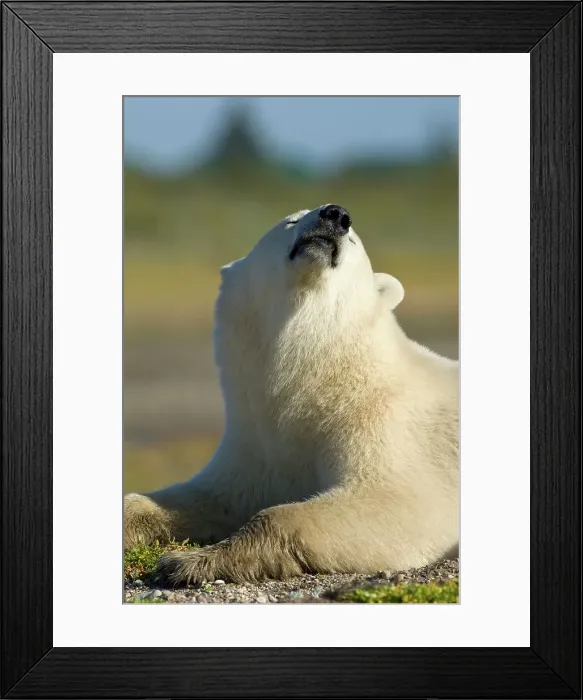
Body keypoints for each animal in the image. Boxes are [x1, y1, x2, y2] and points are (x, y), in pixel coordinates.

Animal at [124, 203, 459, 586]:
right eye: (292, 220)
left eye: (354, 239)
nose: (335, 214)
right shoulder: (260, 445)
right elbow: (218, 494)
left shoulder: (385, 425)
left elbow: (398, 503)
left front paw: (186, 562)